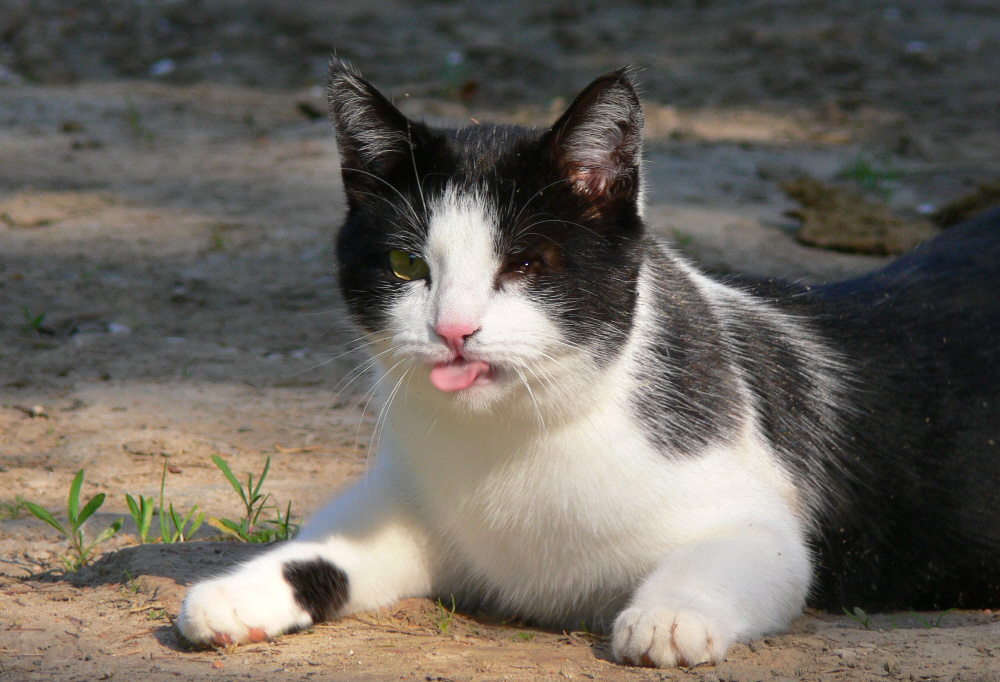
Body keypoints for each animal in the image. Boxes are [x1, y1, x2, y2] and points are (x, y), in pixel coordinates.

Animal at [178, 62, 1000, 664]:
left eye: (526, 265)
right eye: (408, 265)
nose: (453, 330)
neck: (518, 436)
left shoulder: (765, 525)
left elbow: (737, 553)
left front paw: (668, 617)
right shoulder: (411, 501)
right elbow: (327, 553)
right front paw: (238, 592)